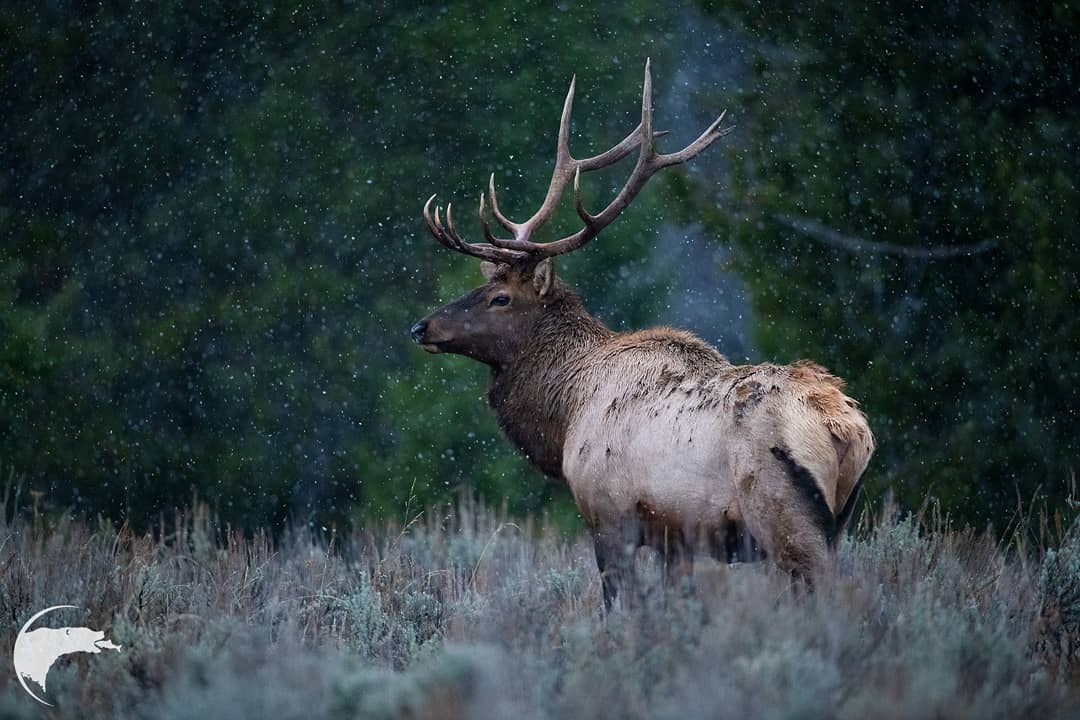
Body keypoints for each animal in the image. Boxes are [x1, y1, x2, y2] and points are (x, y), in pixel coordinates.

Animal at [408, 60, 872, 608]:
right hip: (839, 520)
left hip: (783, 515)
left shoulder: (609, 514)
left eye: (500, 297)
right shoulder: (679, 538)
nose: (421, 325)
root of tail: (847, 428)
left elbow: (620, 604)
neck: (564, 417)